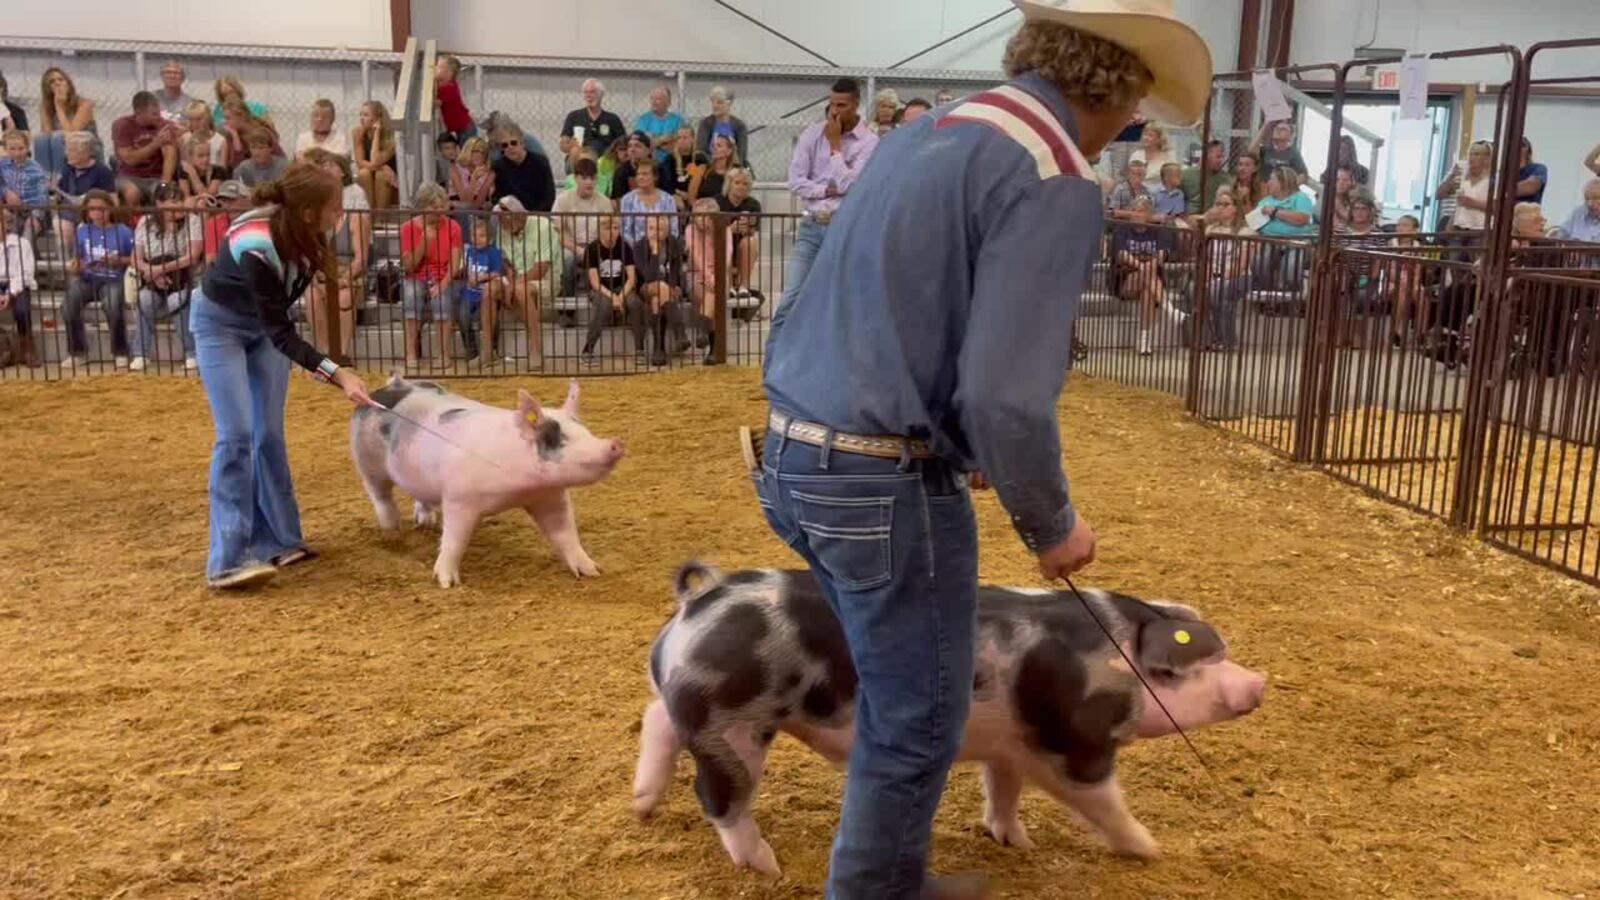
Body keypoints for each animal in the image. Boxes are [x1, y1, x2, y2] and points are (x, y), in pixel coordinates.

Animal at [350, 369, 624, 582]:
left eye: (586, 431)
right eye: (554, 438)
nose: (615, 443)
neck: (517, 491)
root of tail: (393, 384)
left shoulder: (549, 497)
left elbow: (565, 534)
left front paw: (593, 571)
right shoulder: (458, 498)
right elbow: (455, 539)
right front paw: (447, 582)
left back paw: (426, 523)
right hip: (366, 461)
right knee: (381, 497)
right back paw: (392, 532)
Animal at [630, 557, 1267, 871]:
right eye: (1202, 661)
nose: (1257, 683)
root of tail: (701, 602)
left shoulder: (1009, 743)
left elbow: (1003, 790)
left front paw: (1015, 842)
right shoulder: (1070, 746)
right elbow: (1102, 801)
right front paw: (1148, 849)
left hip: (685, 700)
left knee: (657, 721)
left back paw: (642, 805)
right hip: (734, 721)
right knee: (718, 797)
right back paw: (766, 866)